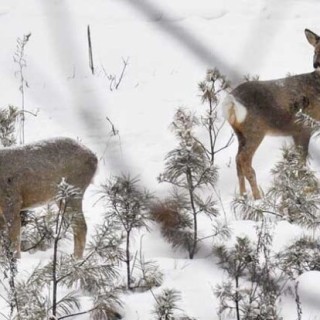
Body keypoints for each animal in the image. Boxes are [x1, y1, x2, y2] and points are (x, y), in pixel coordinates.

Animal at [224, 28, 320, 199]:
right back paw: (258, 197)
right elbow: (302, 162)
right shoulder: (304, 128)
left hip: (240, 134)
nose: (316, 64)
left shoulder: (296, 132)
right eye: (315, 51)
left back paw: (243, 196)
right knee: (244, 160)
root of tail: (231, 102)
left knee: (237, 160)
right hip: (255, 130)